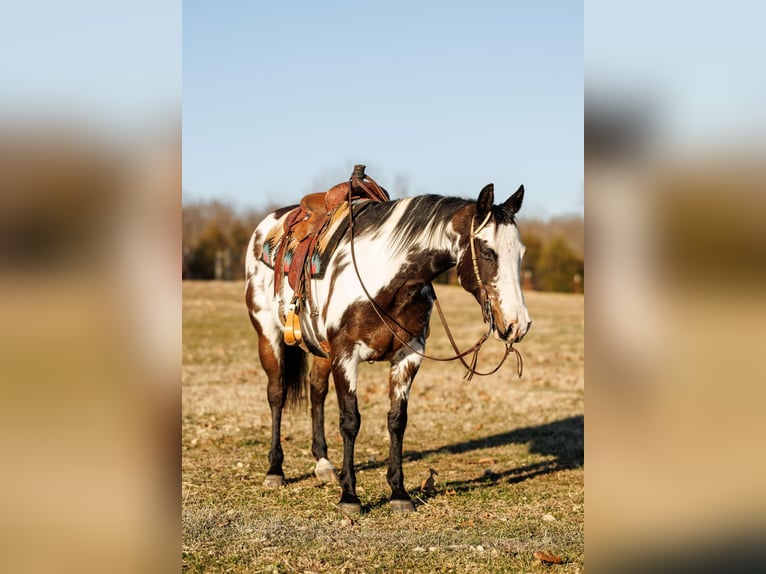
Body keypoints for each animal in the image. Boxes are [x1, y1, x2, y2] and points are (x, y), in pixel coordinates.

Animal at [244, 178, 531, 513]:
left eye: (520, 253)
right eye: (488, 251)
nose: (518, 324)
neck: (384, 278)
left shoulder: (409, 355)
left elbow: (397, 420)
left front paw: (398, 492)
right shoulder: (346, 354)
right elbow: (350, 421)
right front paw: (350, 496)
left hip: (322, 350)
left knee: (316, 392)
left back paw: (323, 464)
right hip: (268, 335)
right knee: (276, 395)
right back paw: (275, 469)